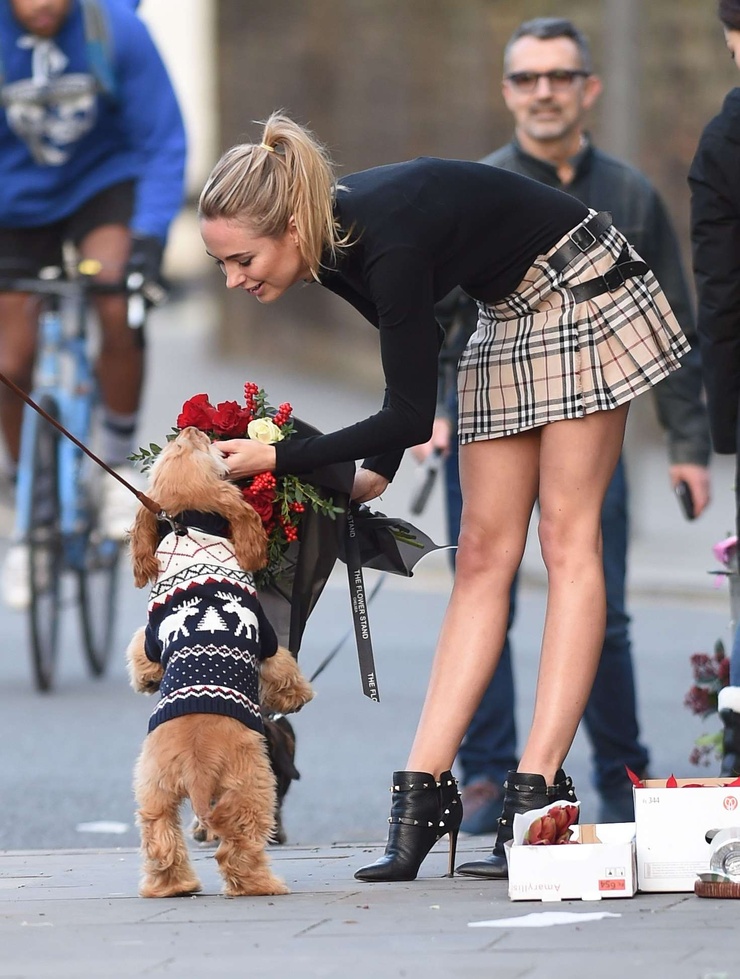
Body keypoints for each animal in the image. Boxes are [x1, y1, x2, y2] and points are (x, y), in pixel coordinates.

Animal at [127, 428, 312, 896]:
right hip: (254, 784)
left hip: (153, 788)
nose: (193, 429)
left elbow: (142, 653)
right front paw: (297, 696)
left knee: (161, 837)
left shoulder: (153, 634)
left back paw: (173, 886)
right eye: (205, 450)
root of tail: (196, 763)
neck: (189, 529)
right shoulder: (267, 638)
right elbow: (283, 668)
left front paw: (146, 680)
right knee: (239, 847)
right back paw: (263, 884)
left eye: (176, 449)